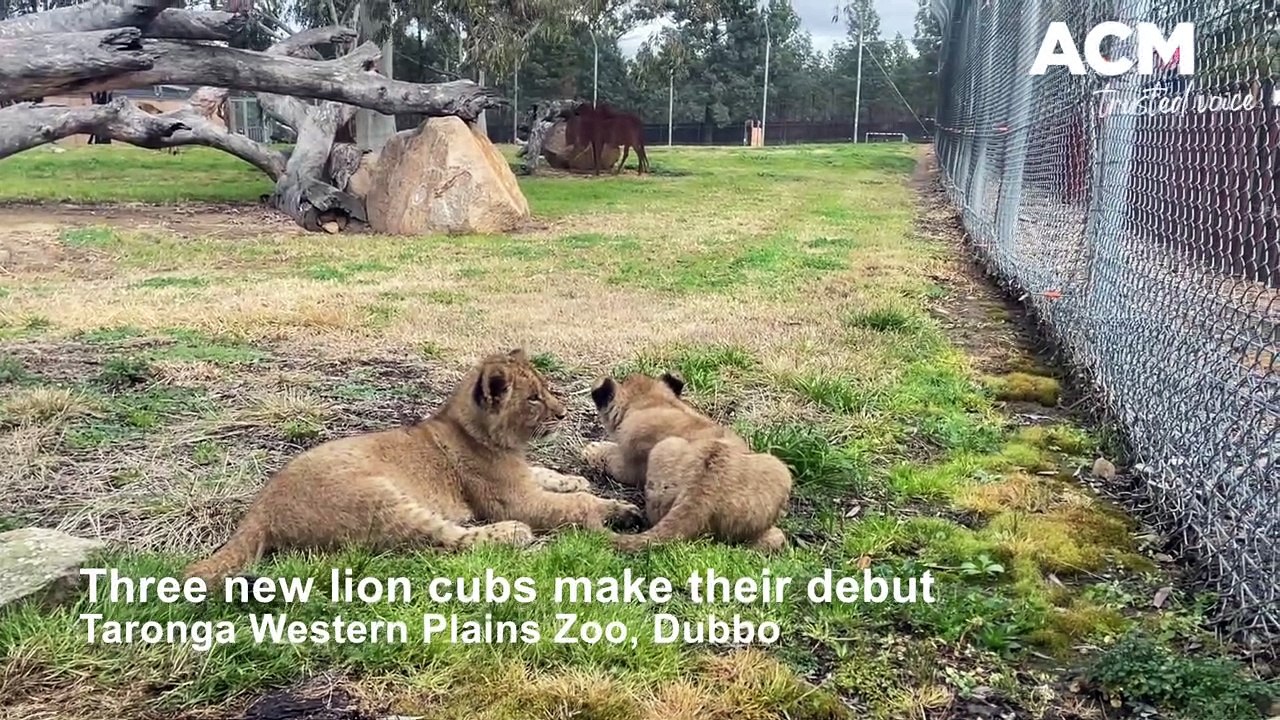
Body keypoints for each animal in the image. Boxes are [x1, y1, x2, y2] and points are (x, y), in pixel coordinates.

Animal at [183, 349, 641, 588]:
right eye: (533, 399)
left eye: (546, 389)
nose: (564, 414)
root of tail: (260, 509)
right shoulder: (515, 499)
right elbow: (575, 506)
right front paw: (614, 509)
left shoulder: (524, 477)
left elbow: (547, 473)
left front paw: (574, 478)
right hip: (380, 500)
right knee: (448, 541)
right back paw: (512, 534)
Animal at [582, 371, 792, 553]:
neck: (652, 402)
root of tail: (703, 491)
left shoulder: (630, 464)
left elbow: (609, 456)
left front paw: (590, 449)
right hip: (777, 468)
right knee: (765, 541)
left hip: (662, 451)